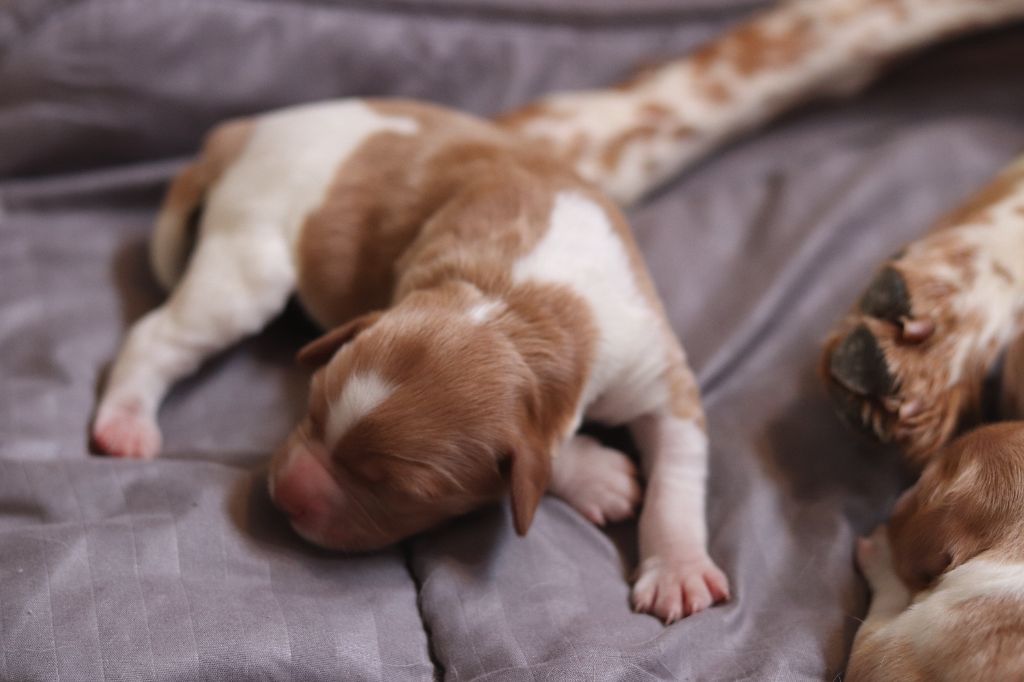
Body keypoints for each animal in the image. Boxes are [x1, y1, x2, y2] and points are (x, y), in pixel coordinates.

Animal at [90, 96, 729, 622]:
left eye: (397, 488)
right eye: (311, 409)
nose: (287, 494)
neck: (511, 300)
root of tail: (245, 129)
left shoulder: (655, 370)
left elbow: (675, 475)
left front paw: (677, 567)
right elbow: (544, 456)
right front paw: (599, 476)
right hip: (247, 263)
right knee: (155, 335)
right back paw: (124, 424)